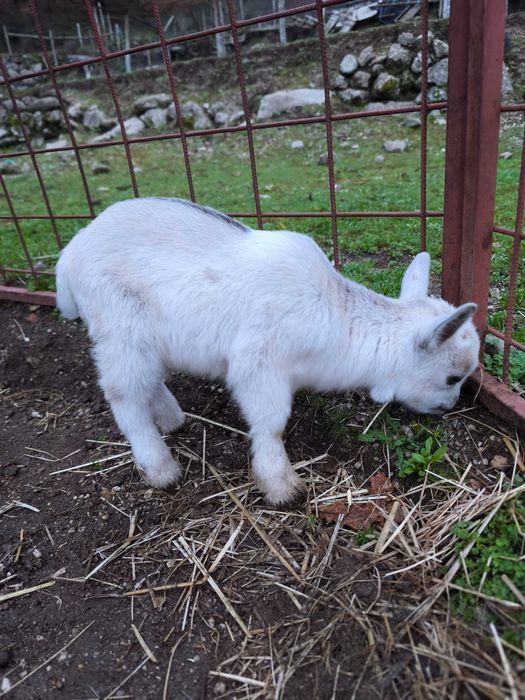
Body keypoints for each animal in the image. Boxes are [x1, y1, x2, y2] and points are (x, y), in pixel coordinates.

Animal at [56, 197, 480, 504]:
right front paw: (281, 486)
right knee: (124, 395)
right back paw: (161, 469)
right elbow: (272, 423)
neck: (336, 317)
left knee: (150, 382)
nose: (449, 408)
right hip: (121, 333)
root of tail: (70, 253)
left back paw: (171, 418)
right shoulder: (259, 364)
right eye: (452, 377)